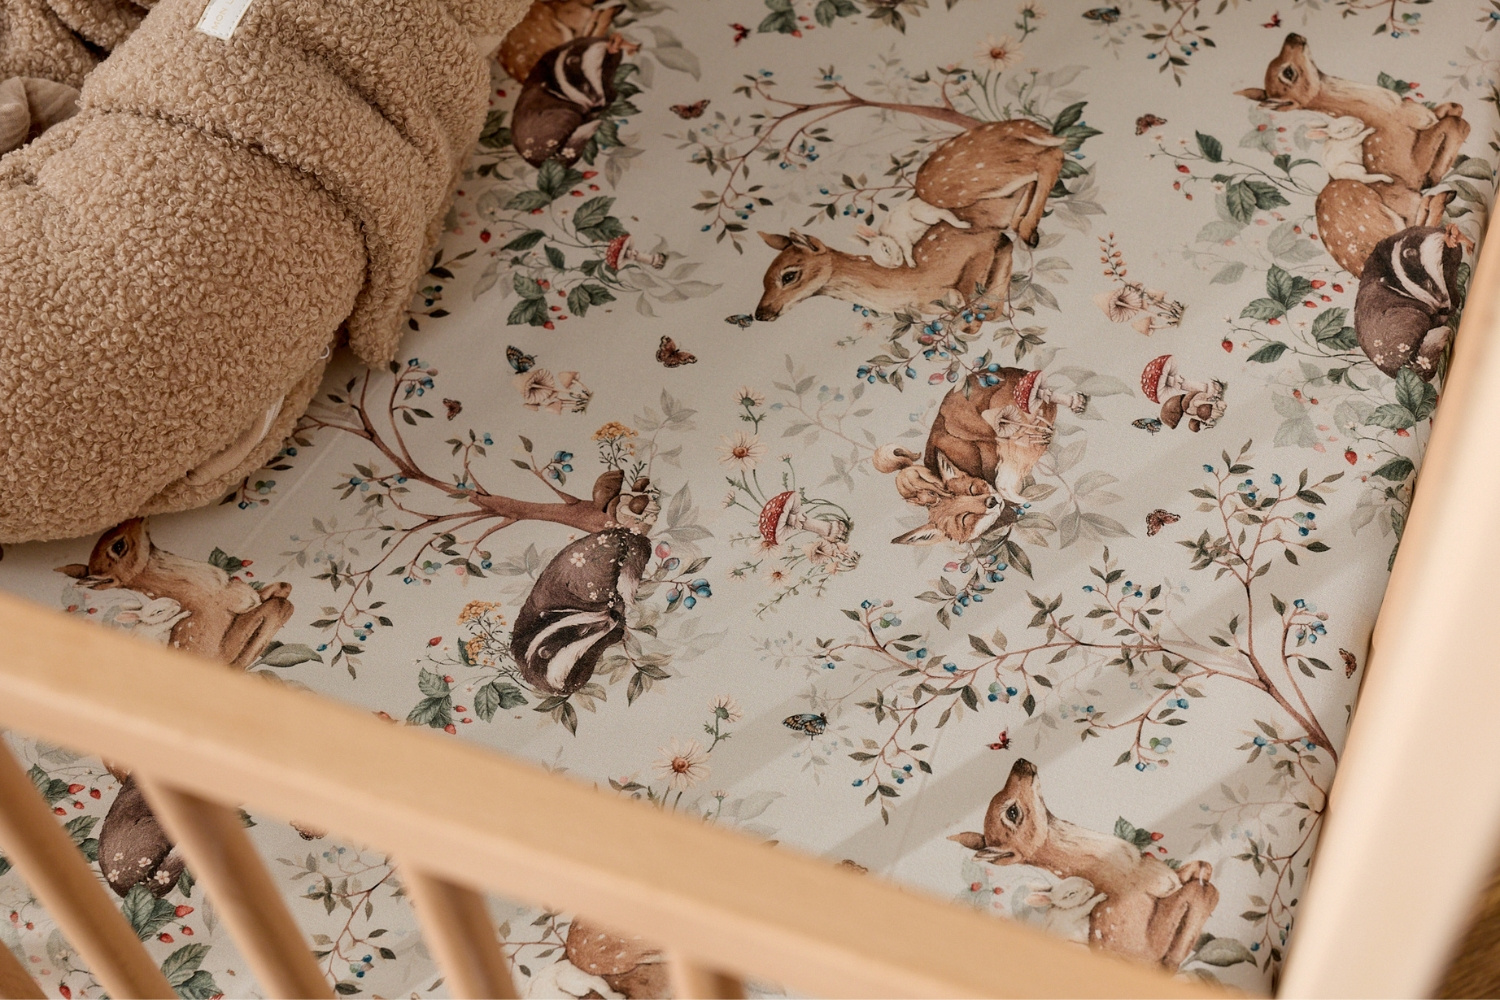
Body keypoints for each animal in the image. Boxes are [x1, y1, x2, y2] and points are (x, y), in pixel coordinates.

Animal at [755, 119, 1067, 329]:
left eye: (789, 275)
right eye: (763, 280)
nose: (760, 313)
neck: (908, 286)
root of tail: (1027, 126)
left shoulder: (980, 245)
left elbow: (975, 309)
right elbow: (984, 309)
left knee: (1049, 159)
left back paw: (1029, 231)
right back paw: (1022, 223)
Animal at [1238, 33, 1470, 277]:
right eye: (1288, 72)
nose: (1292, 36)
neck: (1386, 109)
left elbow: (1454, 109)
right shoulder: (1410, 164)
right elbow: (1457, 124)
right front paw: (1434, 176)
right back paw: (1443, 198)